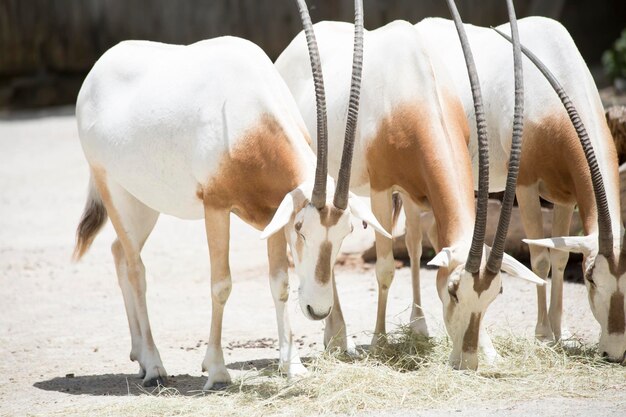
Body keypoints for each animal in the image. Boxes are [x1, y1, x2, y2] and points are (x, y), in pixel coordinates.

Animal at [70, 1, 388, 388]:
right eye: (301, 230)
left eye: (347, 231)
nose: (318, 309)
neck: (249, 118)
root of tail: (97, 71)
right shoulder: (216, 207)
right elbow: (221, 284)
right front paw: (217, 370)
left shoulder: (272, 214)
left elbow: (280, 283)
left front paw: (292, 365)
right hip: (112, 188)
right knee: (135, 268)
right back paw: (155, 365)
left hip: (142, 202)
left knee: (118, 252)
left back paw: (139, 357)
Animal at [276, 0, 544, 368]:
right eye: (453, 291)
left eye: (496, 293)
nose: (466, 360)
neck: (414, 89)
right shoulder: (381, 190)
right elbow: (386, 268)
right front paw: (379, 341)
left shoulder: (419, 194)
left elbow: (418, 249)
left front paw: (479, 347)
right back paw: (340, 338)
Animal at [414, 11, 624, 362]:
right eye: (591, 278)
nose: (616, 352)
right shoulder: (526, 186)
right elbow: (540, 258)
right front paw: (543, 334)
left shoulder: (566, 196)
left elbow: (560, 256)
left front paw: (562, 333)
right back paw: (417, 326)